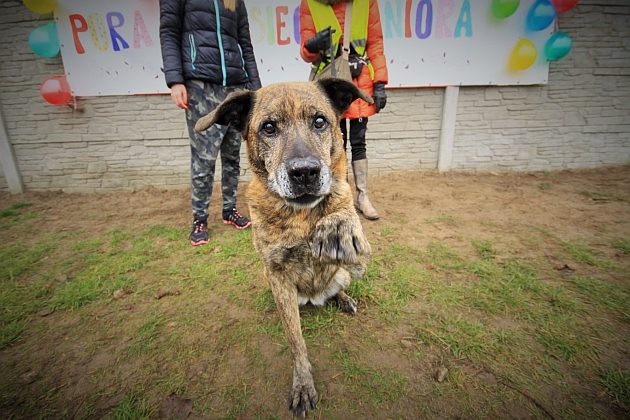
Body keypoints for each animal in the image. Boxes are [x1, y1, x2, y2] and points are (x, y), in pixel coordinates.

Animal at [198, 79, 372, 416]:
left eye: (319, 121)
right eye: (268, 128)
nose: (305, 172)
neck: (301, 216)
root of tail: (316, 297)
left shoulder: (358, 259)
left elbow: (343, 206)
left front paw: (340, 223)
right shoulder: (277, 273)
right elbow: (296, 342)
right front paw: (303, 384)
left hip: (342, 275)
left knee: (339, 285)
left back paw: (344, 299)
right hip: (275, 285)